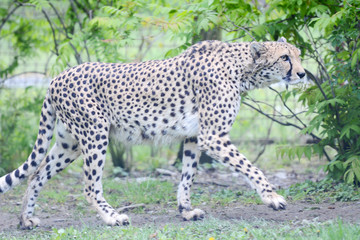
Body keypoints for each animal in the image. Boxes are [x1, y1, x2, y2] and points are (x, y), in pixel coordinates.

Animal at [0, 37, 306, 229]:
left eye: (299, 55)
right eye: (284, 57)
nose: (303, 74)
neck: (242, 69)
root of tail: (56, 77)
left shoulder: (194, 136)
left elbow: (187, 176)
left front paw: (185, 210)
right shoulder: (213, 136)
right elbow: (250, 167)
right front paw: (272, 198)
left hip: (69, 143)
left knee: (37, 174)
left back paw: (25, 220)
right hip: (96, 134)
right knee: (89, 185)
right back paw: (113, 218)